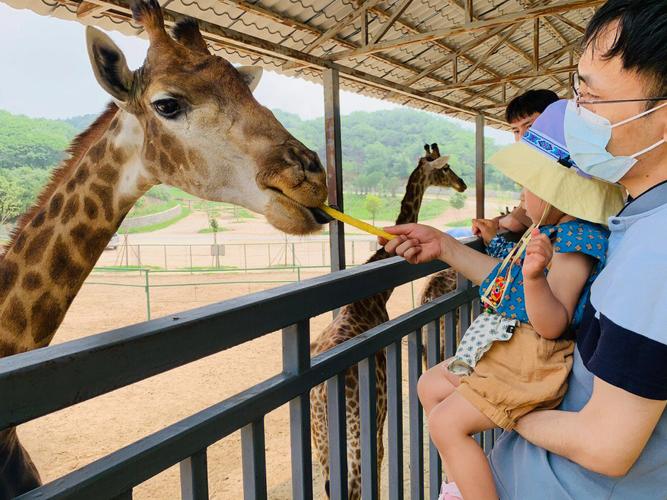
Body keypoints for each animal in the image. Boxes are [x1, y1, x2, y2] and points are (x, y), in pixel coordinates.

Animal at [310, 143, 468, 498]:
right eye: (445, 169)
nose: (463, 184)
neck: (374, 299)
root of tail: (322, 395)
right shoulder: (378, 417)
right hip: (355, 430)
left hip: (321, 439)